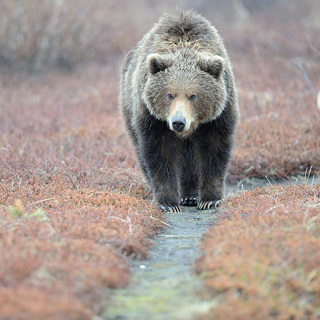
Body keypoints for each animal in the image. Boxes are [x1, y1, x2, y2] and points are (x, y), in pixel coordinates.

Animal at [120, 10, 240, 212]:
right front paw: (168, 202)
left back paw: (190, 195)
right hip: (128, 106)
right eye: (170, 94)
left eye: (193, 96)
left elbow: (215, 150)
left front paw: (210, 199)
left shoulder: (218, 116)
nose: (178, 122)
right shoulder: (153, 118)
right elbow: (159, 154)